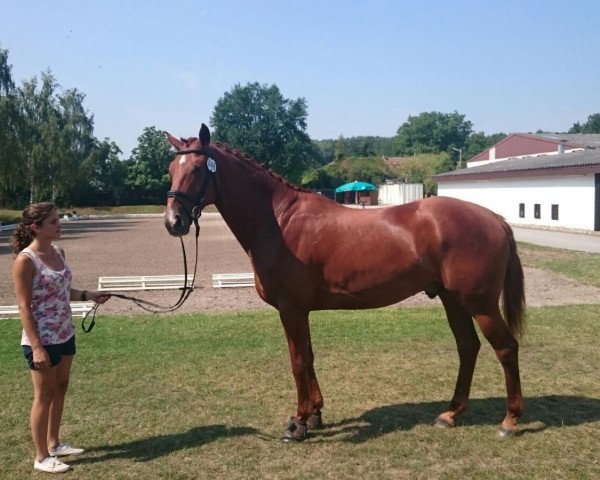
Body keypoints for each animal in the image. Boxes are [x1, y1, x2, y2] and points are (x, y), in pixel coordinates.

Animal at [164, 124, 524, 442]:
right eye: (171, 169)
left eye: (198, 169)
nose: (173, 221)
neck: (279, 221)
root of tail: (494, 218)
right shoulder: (300, 311)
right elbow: (308, 357)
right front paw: (314, 415)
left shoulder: (291, 309)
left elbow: (298, 362)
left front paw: (297, 424)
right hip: (453, 300)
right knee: (468, 347)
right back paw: (450, 414)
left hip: (480, 303)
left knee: (506, 348)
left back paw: (510, 421)